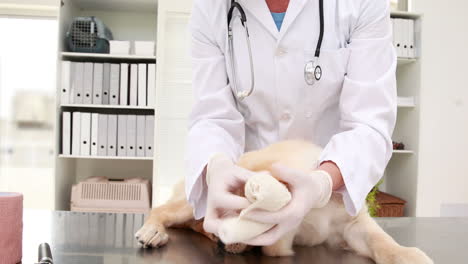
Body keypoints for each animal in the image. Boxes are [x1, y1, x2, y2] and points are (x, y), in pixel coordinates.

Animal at [134, 140, 432, 264]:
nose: (221, 242)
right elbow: (277, 245)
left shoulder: (353, 225)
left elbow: (382, 242)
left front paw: (407, 255)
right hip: (189, 202)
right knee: (162, 210)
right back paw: (154, 231)